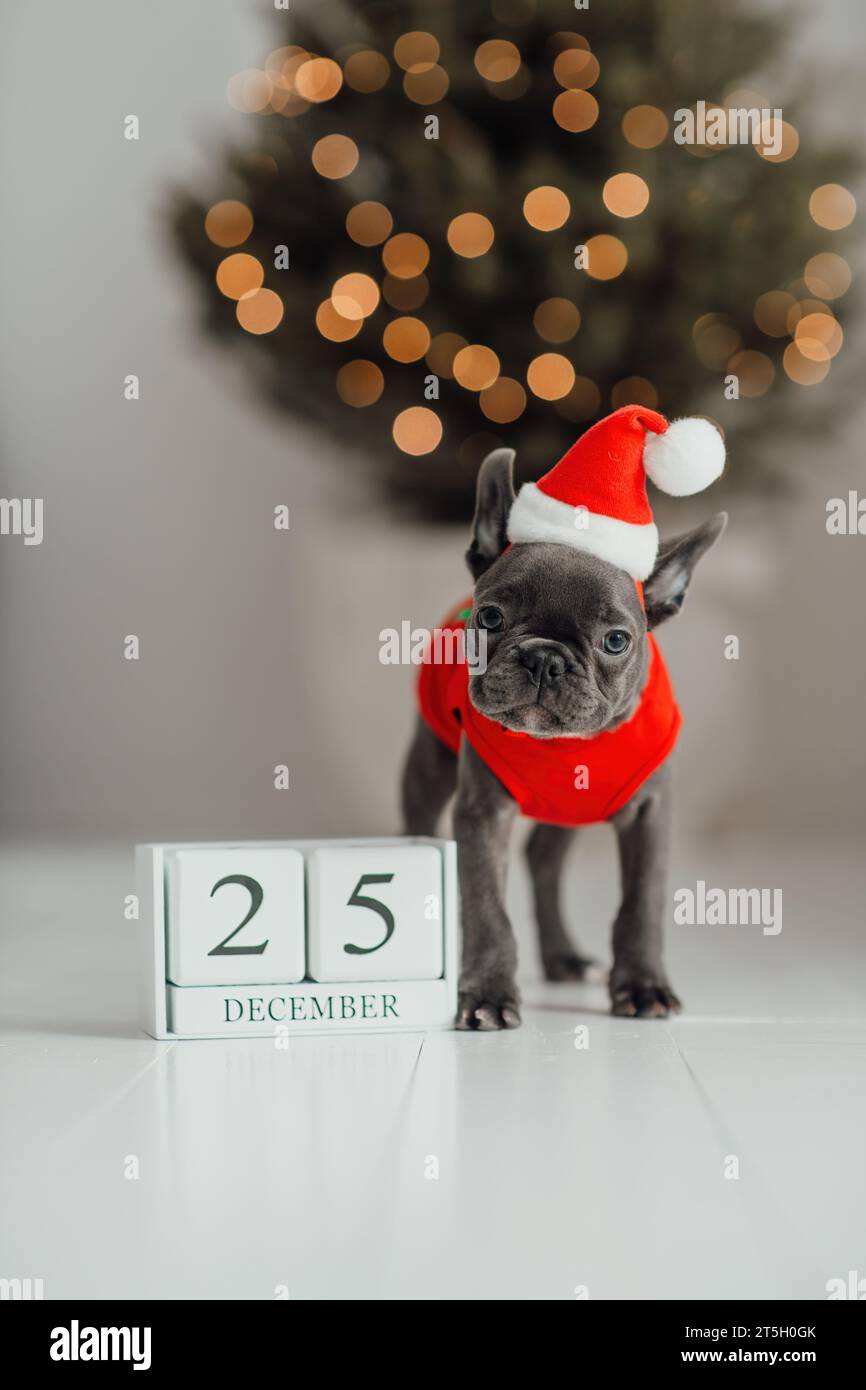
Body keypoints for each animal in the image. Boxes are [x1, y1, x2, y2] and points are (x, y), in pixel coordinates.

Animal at [403, 447, 728, 1034]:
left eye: (616, 641)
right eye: (490, 617)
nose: (543, 658)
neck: (569, 745)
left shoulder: (649, 814)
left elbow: (641, 905)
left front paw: (643, 986)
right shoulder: (482, 812)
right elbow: (487, 908)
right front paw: (487, 994)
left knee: (544, 860)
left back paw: (561, 957)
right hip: (427, 768)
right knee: (422, 828)